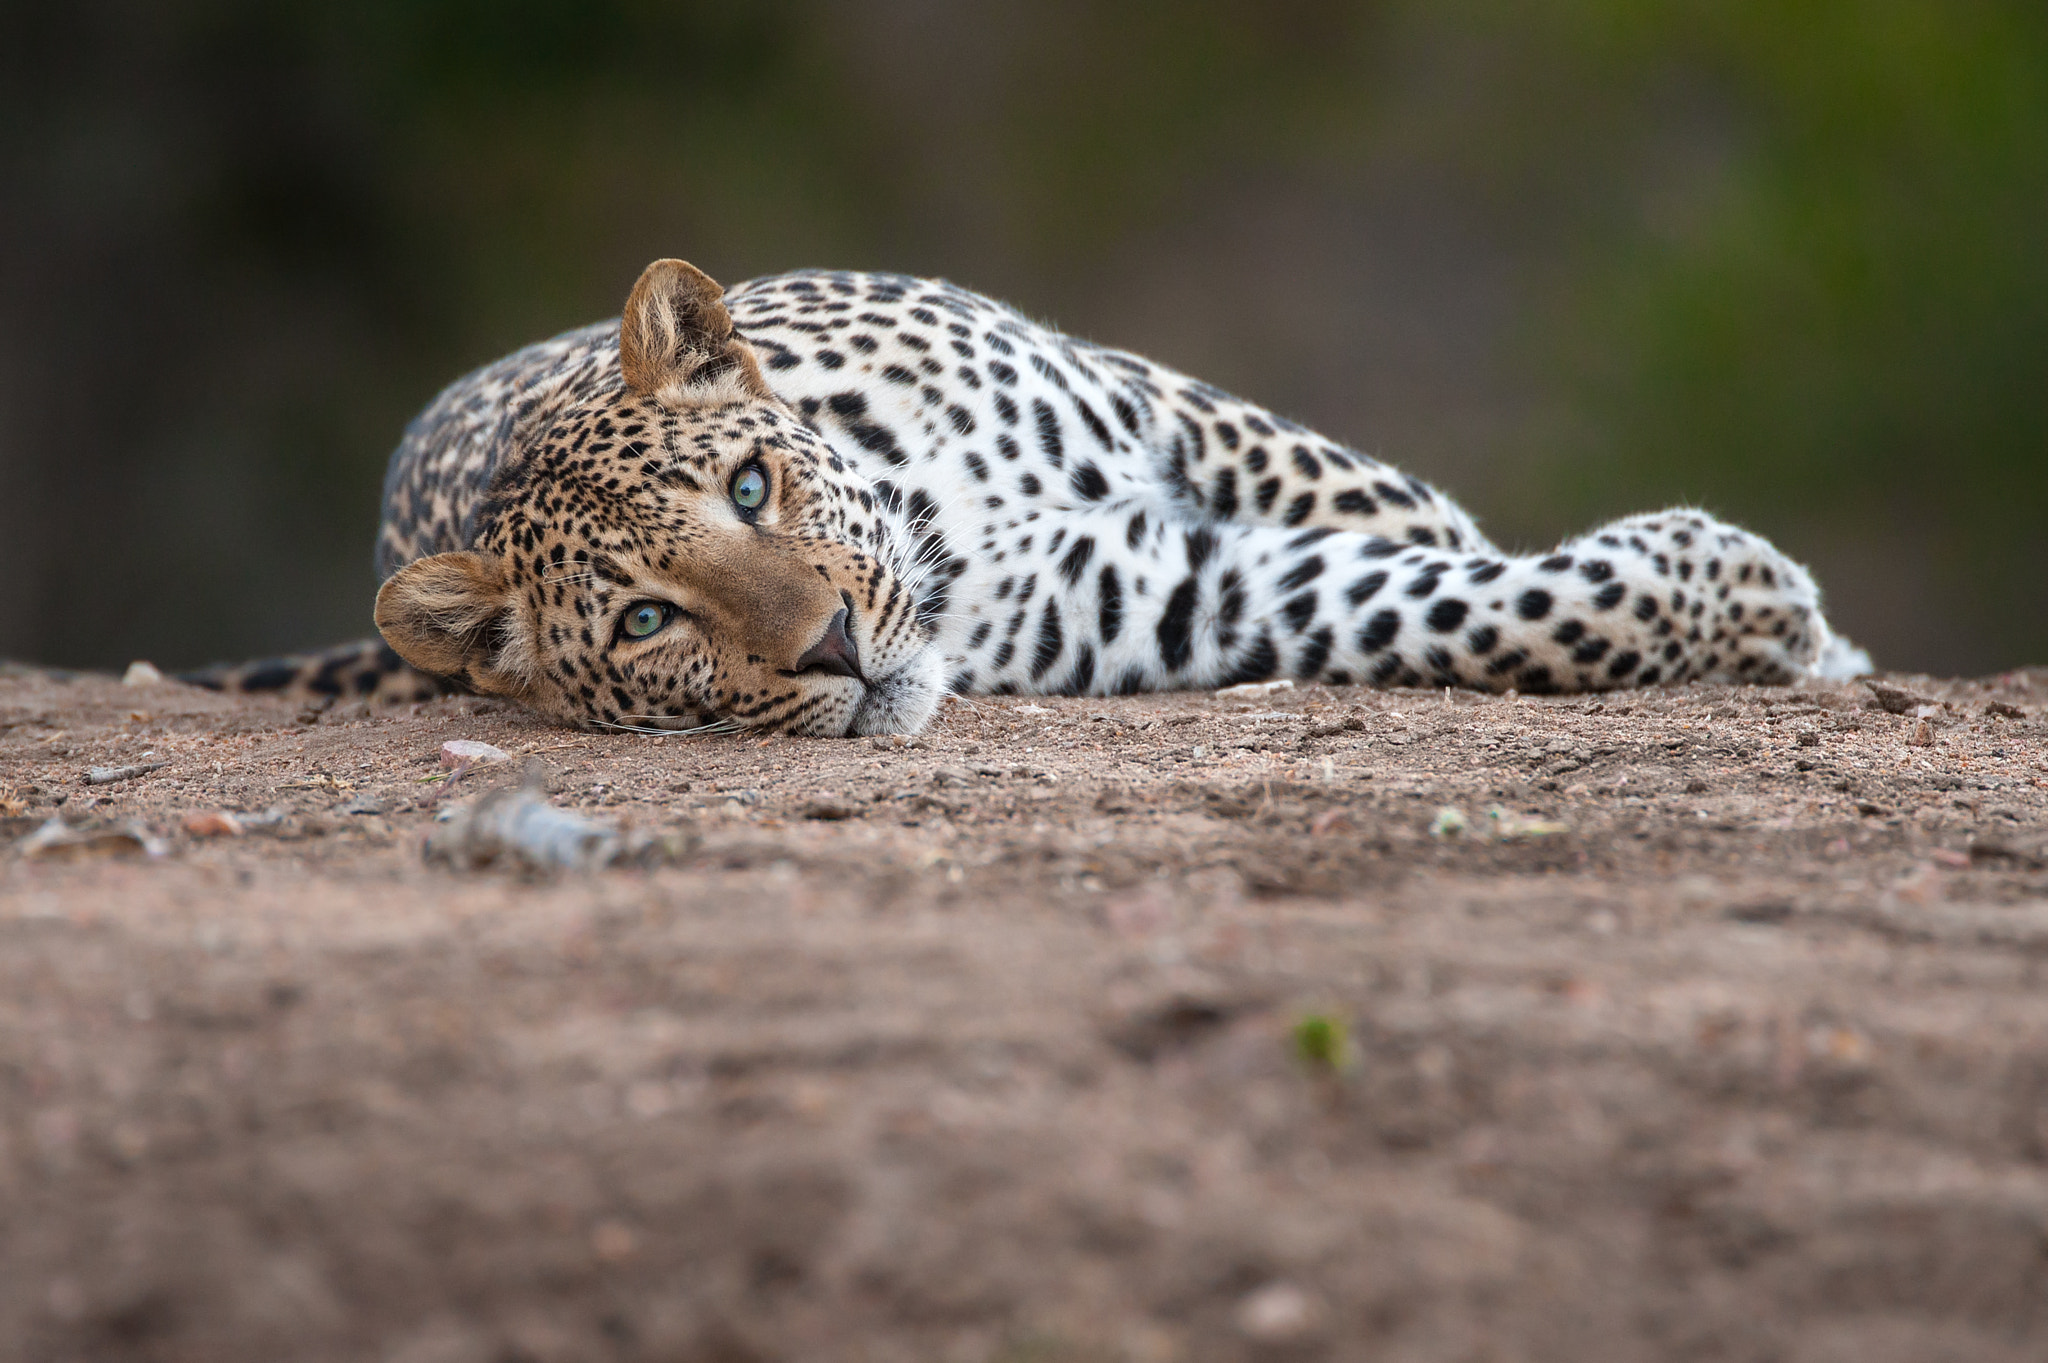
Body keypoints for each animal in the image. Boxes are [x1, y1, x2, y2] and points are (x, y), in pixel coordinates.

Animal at [186, 257, 1869, 736]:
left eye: (750, 482)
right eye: (650, 622)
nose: (831, 648)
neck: (935, 516)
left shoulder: (1170, 409)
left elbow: (1410, 524)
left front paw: (1795, 625)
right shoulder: (1181, 602)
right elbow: (1480, 609)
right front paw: (1751, 598)